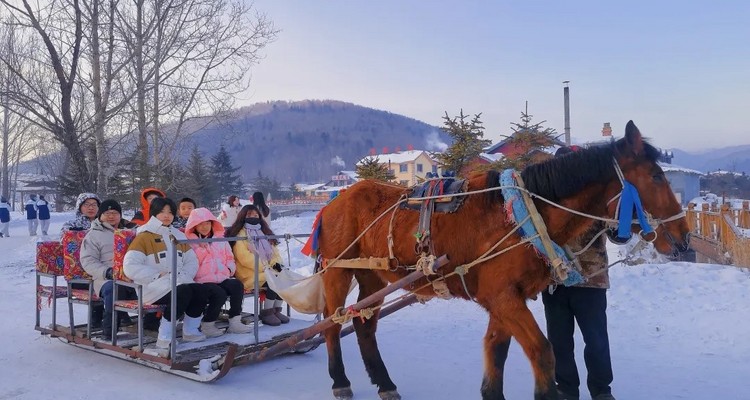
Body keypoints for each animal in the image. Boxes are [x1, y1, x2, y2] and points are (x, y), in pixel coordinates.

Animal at [318, 122, 692, 400]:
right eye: (657, 177)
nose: (685, 238)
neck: (523, 215)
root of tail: (334, 202)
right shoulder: (503, 298)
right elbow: (543, 353)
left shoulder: (505, 299)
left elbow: (496, 352)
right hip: (338, 271)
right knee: (333, 322)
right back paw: (339, 381)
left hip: (373, 277)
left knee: (364, 326)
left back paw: (385, 383)